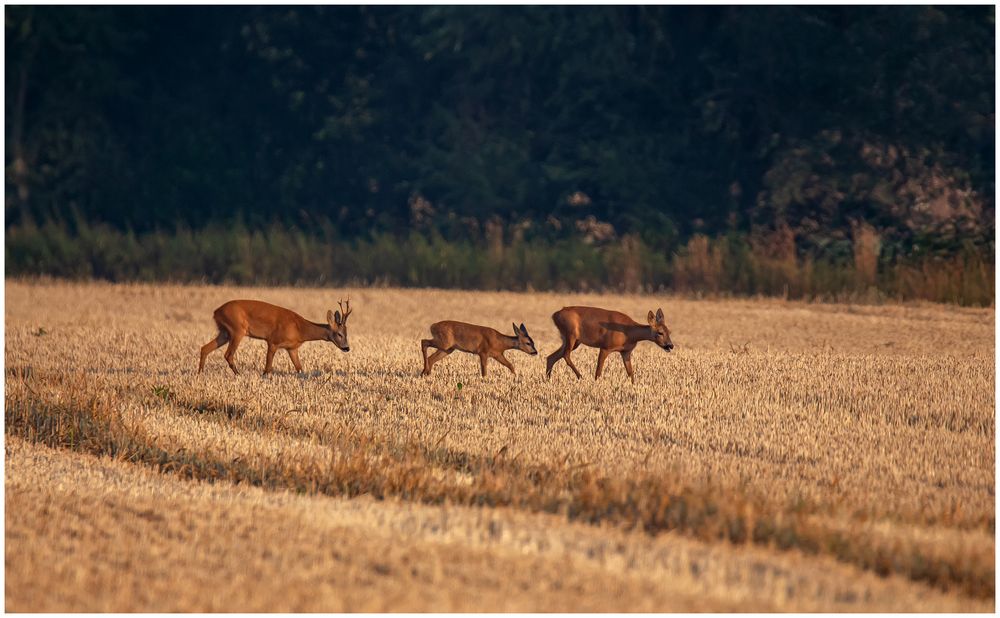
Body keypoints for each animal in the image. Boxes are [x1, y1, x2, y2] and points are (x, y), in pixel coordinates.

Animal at [197, 296, 354, 372]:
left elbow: (300, 369)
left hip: (224, 332)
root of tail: (216, 311)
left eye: (347, 333)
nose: (347, 348)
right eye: (339, 334)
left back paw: (200, 374)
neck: (300, 329)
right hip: (237, 330)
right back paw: (239, 375)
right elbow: (268, 368)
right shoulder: (273, 341)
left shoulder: (292, 348)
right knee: (228, 354)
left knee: (204, 348)